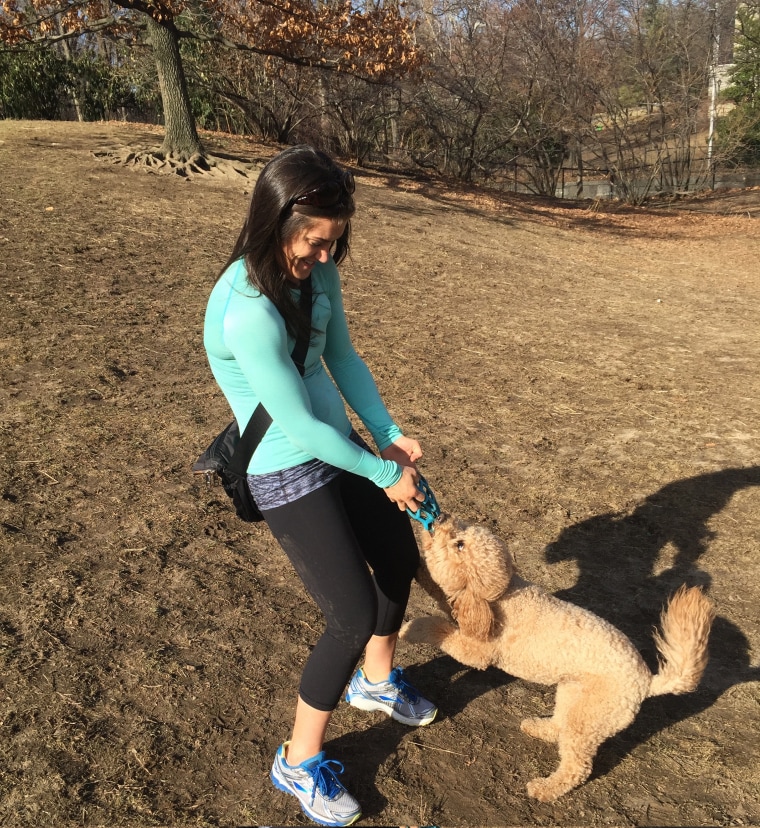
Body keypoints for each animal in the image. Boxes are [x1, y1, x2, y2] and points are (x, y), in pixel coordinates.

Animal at [400, 516, 716, 800]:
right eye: (461, 532)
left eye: (460, 544)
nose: (438, 520)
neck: (504, 594)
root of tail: (648, 681)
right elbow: (441, 593)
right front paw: (419, 570)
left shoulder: (478, 650)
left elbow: (442, 629)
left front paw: (411, 628)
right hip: (572, 694)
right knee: (560, 725)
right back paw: (539, 728)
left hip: (589, 718)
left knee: (578, 766)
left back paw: (546, 788)